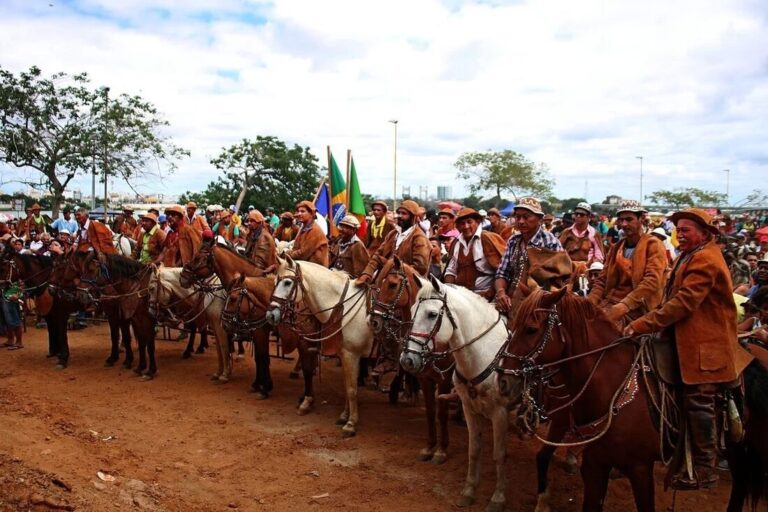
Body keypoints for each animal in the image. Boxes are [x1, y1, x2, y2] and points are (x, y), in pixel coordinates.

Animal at [268, 256, 374, 436]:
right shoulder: (345, 354)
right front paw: (344, 415)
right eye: (275, 281)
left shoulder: (350, 354)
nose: (270, 314)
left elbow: (351, 389)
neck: (341, 307)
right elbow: (347, 385)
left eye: (288, 283)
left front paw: (351, 423)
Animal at [372, 256, 456, 464]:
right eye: (379, 283)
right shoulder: (425, 377)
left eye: (392, 285)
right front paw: (430, 446)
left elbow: (442, 413)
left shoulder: (444, 378)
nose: (374, 321)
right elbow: (430, 412)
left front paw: (442, 450)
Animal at [402, 278, 516, 510]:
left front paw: (498, 496)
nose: (407, 359)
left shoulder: (500, 413)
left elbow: (499, 454)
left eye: (432, 314)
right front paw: (469, 491)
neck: (485, 354)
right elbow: (474, 449)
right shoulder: (469, 408)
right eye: (411, 310)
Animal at [498, 288, 768, 512]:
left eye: (531, 329)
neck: (612, 385)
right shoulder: (595, 463)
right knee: (741, 483)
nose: (503, 381)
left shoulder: (639, 468)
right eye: (512, 323)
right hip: (736, 446)